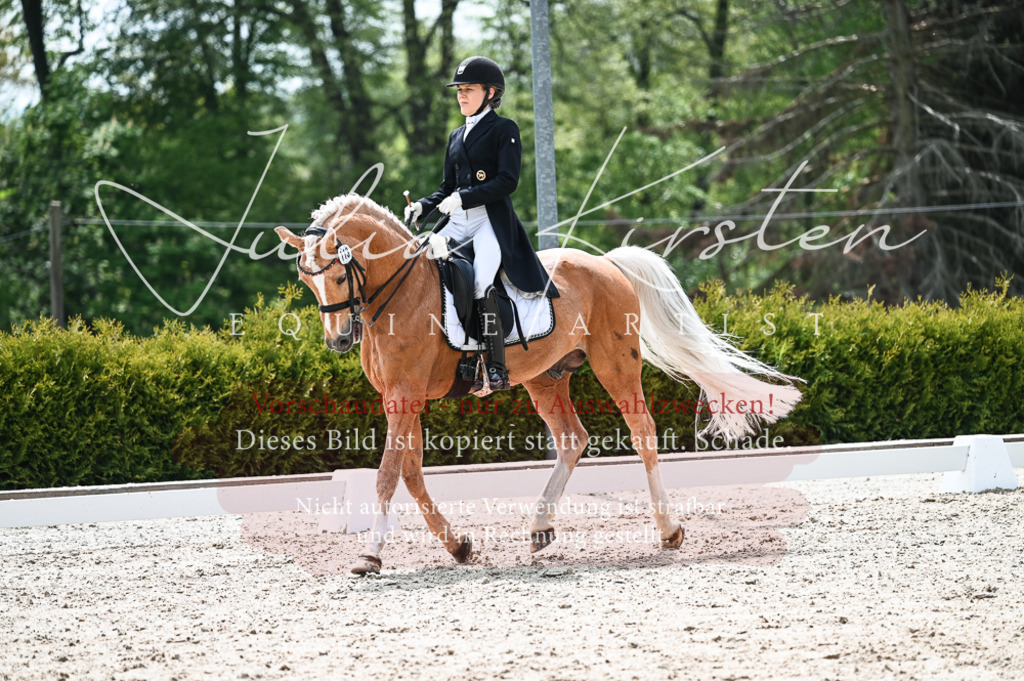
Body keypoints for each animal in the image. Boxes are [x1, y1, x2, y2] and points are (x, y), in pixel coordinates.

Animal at [274, 193, 801, 575]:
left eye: (338, 273)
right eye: (307, 281)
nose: (339, 340)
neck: (401, 292)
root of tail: (608, 263)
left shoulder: (405, 396)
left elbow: (386, 475)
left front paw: (370, 556)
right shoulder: (400, 398)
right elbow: (411, 473)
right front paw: (459, 546)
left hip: (615, 364)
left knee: (643, 433)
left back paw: (668, 530)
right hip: (546, 380)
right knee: (572, 439)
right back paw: (540, 528)